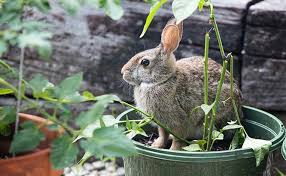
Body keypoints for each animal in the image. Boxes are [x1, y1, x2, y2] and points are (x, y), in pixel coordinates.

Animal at [120, 18, 241, 150]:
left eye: (145, 62)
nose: (123, 72)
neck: (163, 80)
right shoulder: (162, 123)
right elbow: (163, 135)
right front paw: (156, 145)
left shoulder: (179, 121)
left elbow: (178, 138)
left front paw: (173, 150)